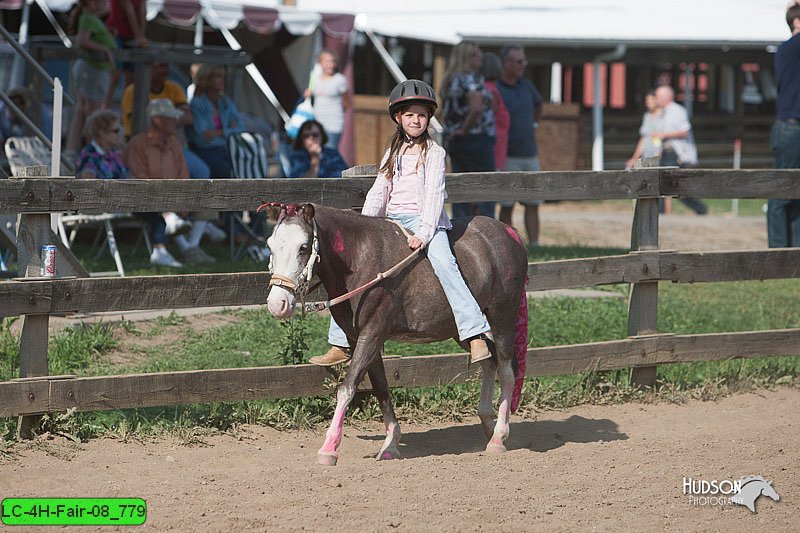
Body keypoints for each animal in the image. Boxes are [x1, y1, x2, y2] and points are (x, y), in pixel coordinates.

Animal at [264, 204, 532, 466]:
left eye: (303, 247)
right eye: (270, 245)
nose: (278, 303)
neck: (361, 259)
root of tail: (510, 233)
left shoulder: (373, 333)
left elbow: (347, 388)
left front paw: (328, 449)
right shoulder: (360, 337)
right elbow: (381, 387)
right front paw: (391, 444)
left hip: (503, 317)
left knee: (507, 370)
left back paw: (498, 438)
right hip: (460, 329)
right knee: (489, 361)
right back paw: (488, 422)